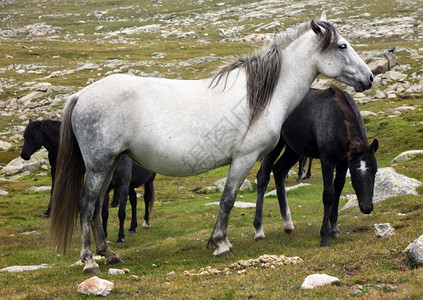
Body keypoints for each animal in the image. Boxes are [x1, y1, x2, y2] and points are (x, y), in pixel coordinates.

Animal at [19, 119, 156, 244]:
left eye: (33, 136)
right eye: (24, 136)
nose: (24, 155)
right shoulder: (56, 170)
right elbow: (54, 190)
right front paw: (48, 211)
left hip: (146, 181)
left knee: (145, 198)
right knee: (133, 199)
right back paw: (132, 225)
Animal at [253, 85, 380, 247]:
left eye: (375, 171)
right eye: (354, 173)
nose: (367, 207)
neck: (336, 118)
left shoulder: (344, 160)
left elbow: (338, 188)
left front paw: (334, 228)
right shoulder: (327, 159)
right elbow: (328, 194)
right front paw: (324, 236)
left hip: (293, 149)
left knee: (279, 171)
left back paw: (288, 224)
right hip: (275, 145)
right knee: (263, 178)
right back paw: (259, 230)